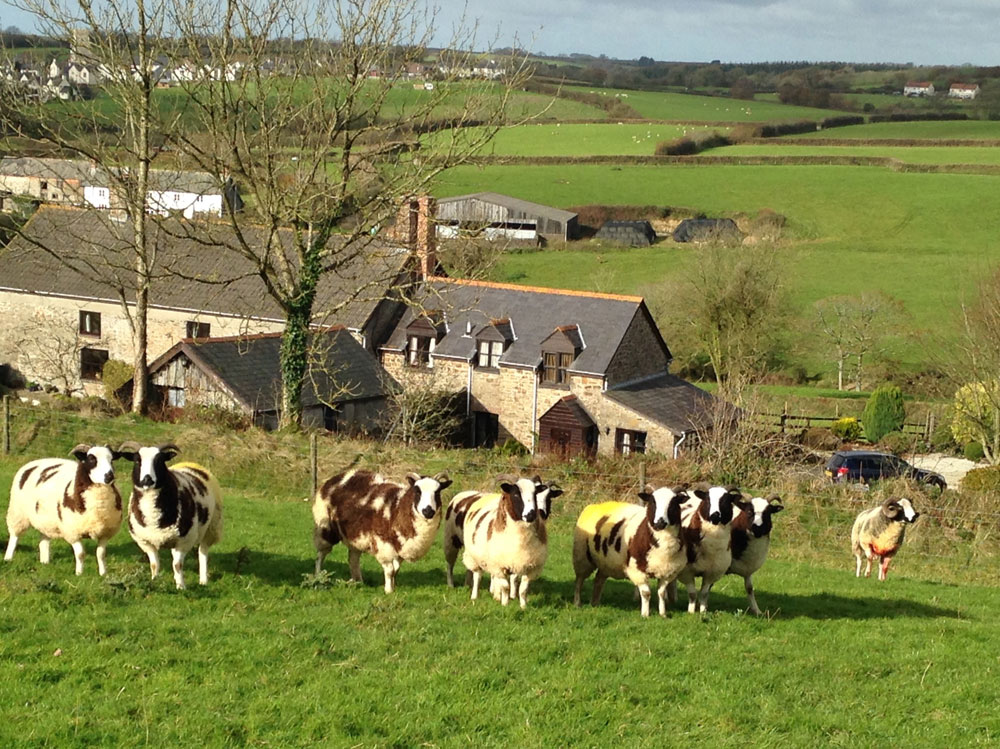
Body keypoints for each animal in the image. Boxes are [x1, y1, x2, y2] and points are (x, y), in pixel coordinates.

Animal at [3, 442, 123, 576]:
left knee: (44, 540)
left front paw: (103, 573)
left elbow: (101, 554)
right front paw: (79, 573)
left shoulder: (105, 533)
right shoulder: (72, 532)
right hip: (17, 513)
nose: (109, 476)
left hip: (46, 520)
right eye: (92, 459)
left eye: (111, 459)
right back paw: (8, 558)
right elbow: (80, 554)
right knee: (14, 536)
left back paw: (45, 562)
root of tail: (37, 461)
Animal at [117, 442, 225, 588]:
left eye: (159, 461)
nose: (147, 480)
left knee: (203, 552)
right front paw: (154, 581)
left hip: (212, 527)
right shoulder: (146, 541)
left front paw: (181, 586)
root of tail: (191, 463)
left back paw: (203, 580)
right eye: (137, 460)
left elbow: (178, 565)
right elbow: (154, 564)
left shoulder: (185, 539)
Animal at [312, 464, 454, 592]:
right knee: (321, 555)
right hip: (325, 527)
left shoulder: (400, 546)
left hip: (356, 536)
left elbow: (396, 569)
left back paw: (358, 581)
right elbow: (390, 570)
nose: (428, 511)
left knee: (353, 559)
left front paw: (392, 586)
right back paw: (318, 577)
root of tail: (335, 478)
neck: (397, 508)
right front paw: (388, 590)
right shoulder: (383, 543)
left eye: (437, 492)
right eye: (417, 491)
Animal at [462, 474, 548, 608]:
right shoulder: (499, 565)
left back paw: (496, 595)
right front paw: (505, 604)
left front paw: (523, 607)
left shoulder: (530, 567)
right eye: (516, 494)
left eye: (535, 494)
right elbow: (506, 587)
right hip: (475, 557)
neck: (520, 539)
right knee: (477, 576)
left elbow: (523, 589)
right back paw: (475, 596)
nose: (531, 515)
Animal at [572, 482, 688, 616]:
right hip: (581, 556)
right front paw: (645, 615)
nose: (659, 523)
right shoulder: (637, 569)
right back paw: (577, 603)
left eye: (673, 503)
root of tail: (594, 505)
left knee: (598, 580)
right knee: (579, 581)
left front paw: (663, 614)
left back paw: (595, 603)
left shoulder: (667, 571)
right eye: (653, 502)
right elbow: (646, 593)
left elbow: (662, 593)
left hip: (606, 563)